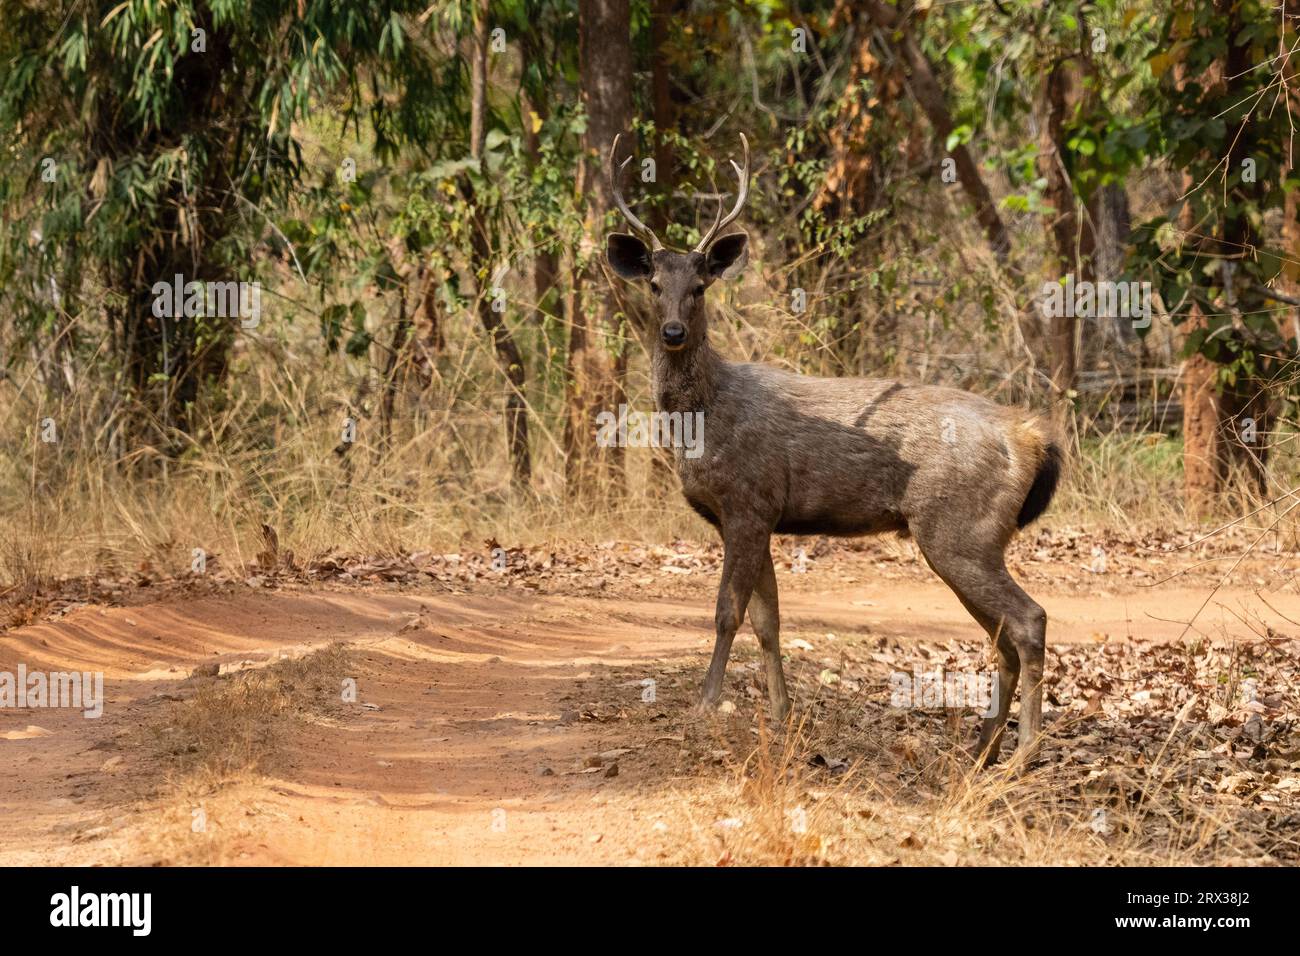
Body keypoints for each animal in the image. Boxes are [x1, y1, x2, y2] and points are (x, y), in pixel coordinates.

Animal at [603, 132, 1060, 764]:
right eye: (653, 285)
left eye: (699, 288)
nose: (672, 332)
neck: (704, 419)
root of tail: (1031, 436)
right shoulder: (758, 515)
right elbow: (768, 619)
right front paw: (781, 715)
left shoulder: (748, 501)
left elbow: (726, 613)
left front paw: (704, 705)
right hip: (969, 538)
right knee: (1004, 636)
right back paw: (982, 749)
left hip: (960, 530)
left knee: (1028, 620)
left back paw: (1022, 754)